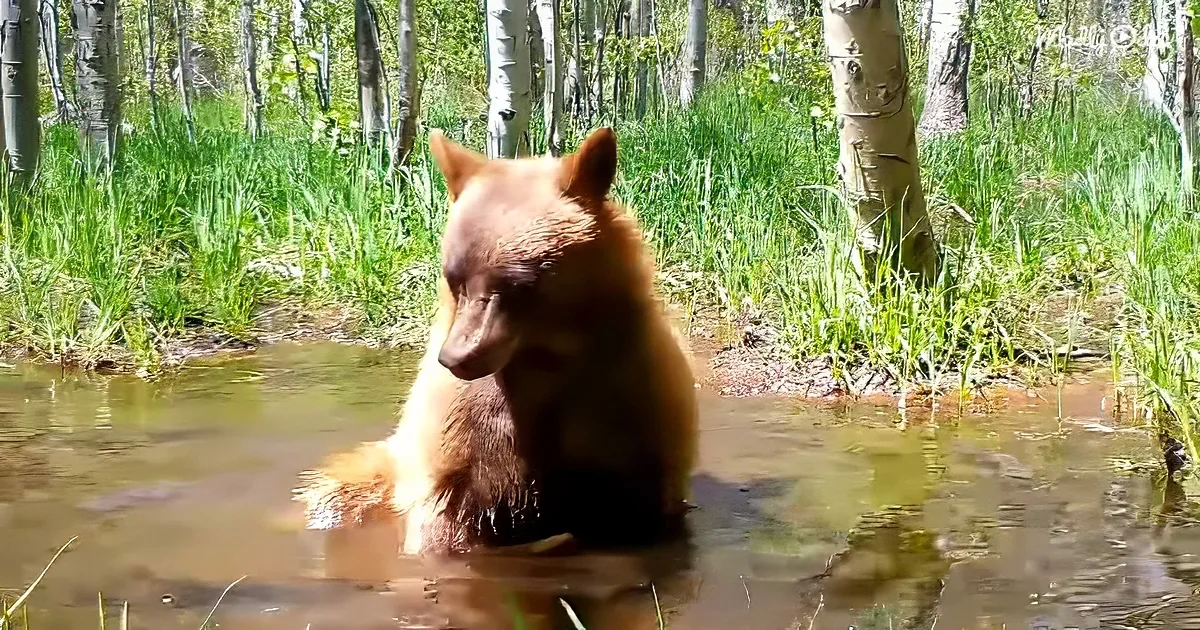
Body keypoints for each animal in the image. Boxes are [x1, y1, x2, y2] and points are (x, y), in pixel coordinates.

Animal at [293, 126, 699, 556]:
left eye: (518, 282)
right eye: (455, 278)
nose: (457, 357)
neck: (544, 357)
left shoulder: (631, 404)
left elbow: (640, 503)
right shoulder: (463, 437)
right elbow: (447, 517)